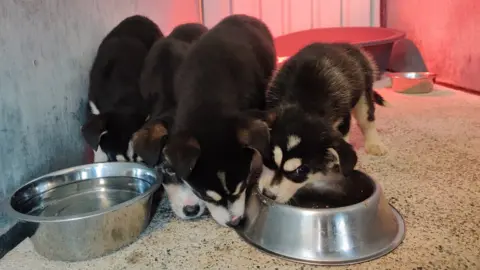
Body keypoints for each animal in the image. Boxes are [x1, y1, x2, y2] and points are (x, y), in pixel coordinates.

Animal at [258, 41, 386, 202]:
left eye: (301, 171)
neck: (305, 104)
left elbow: (342, 138)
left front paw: (335, 160)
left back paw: (375, 144)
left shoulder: (343, 118)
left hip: (364, 92)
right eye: (268, 158)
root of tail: (346, 45)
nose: (268, 194)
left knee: (367, 119)